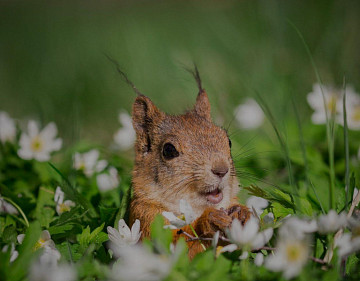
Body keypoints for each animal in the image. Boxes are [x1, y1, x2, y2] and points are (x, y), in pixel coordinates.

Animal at [129, 68, 250, 258]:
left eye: (228, 141)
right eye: (169, 150)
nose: (221, 170)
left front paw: (243, 213)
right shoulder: (145, 217)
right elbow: (177, 246)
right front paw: (210, 220)